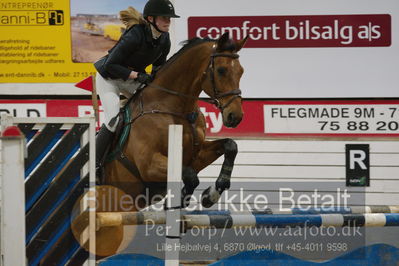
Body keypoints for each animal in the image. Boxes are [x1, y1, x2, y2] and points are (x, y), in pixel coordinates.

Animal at [95, 33, 248, 256]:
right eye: (221, 70)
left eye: (241, 71)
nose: (235, 117)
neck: (173, 107)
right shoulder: (149, 166)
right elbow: (190, 176)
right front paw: (181, 199)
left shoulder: (196, 156)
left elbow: (230, 146)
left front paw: (210, 196)